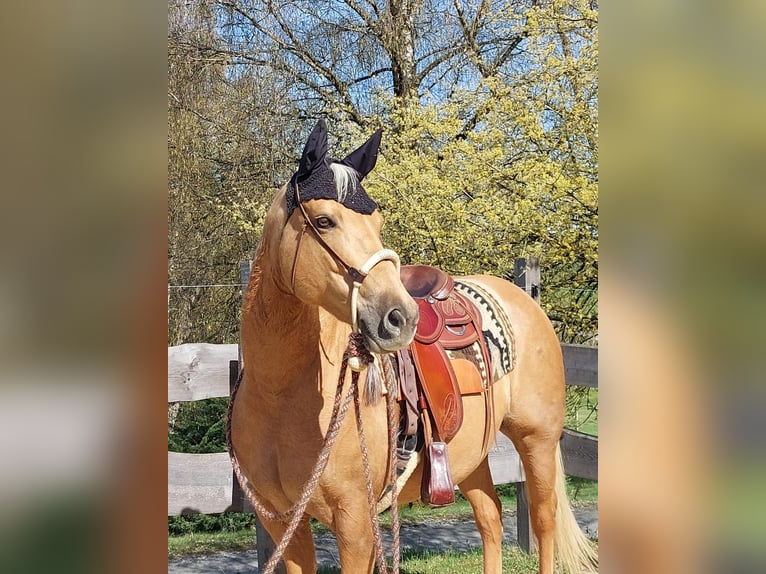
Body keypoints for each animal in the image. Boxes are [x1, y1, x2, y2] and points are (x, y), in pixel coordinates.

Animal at [230, 119, 597, 574]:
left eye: (378, 222)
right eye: (324, 220)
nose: (401, 317)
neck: (278, 395)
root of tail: (524, 298)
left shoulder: (355, 522)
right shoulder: (283, 523)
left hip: (538, 441)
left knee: (544, 522)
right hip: (467, 456)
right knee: (491, 518)